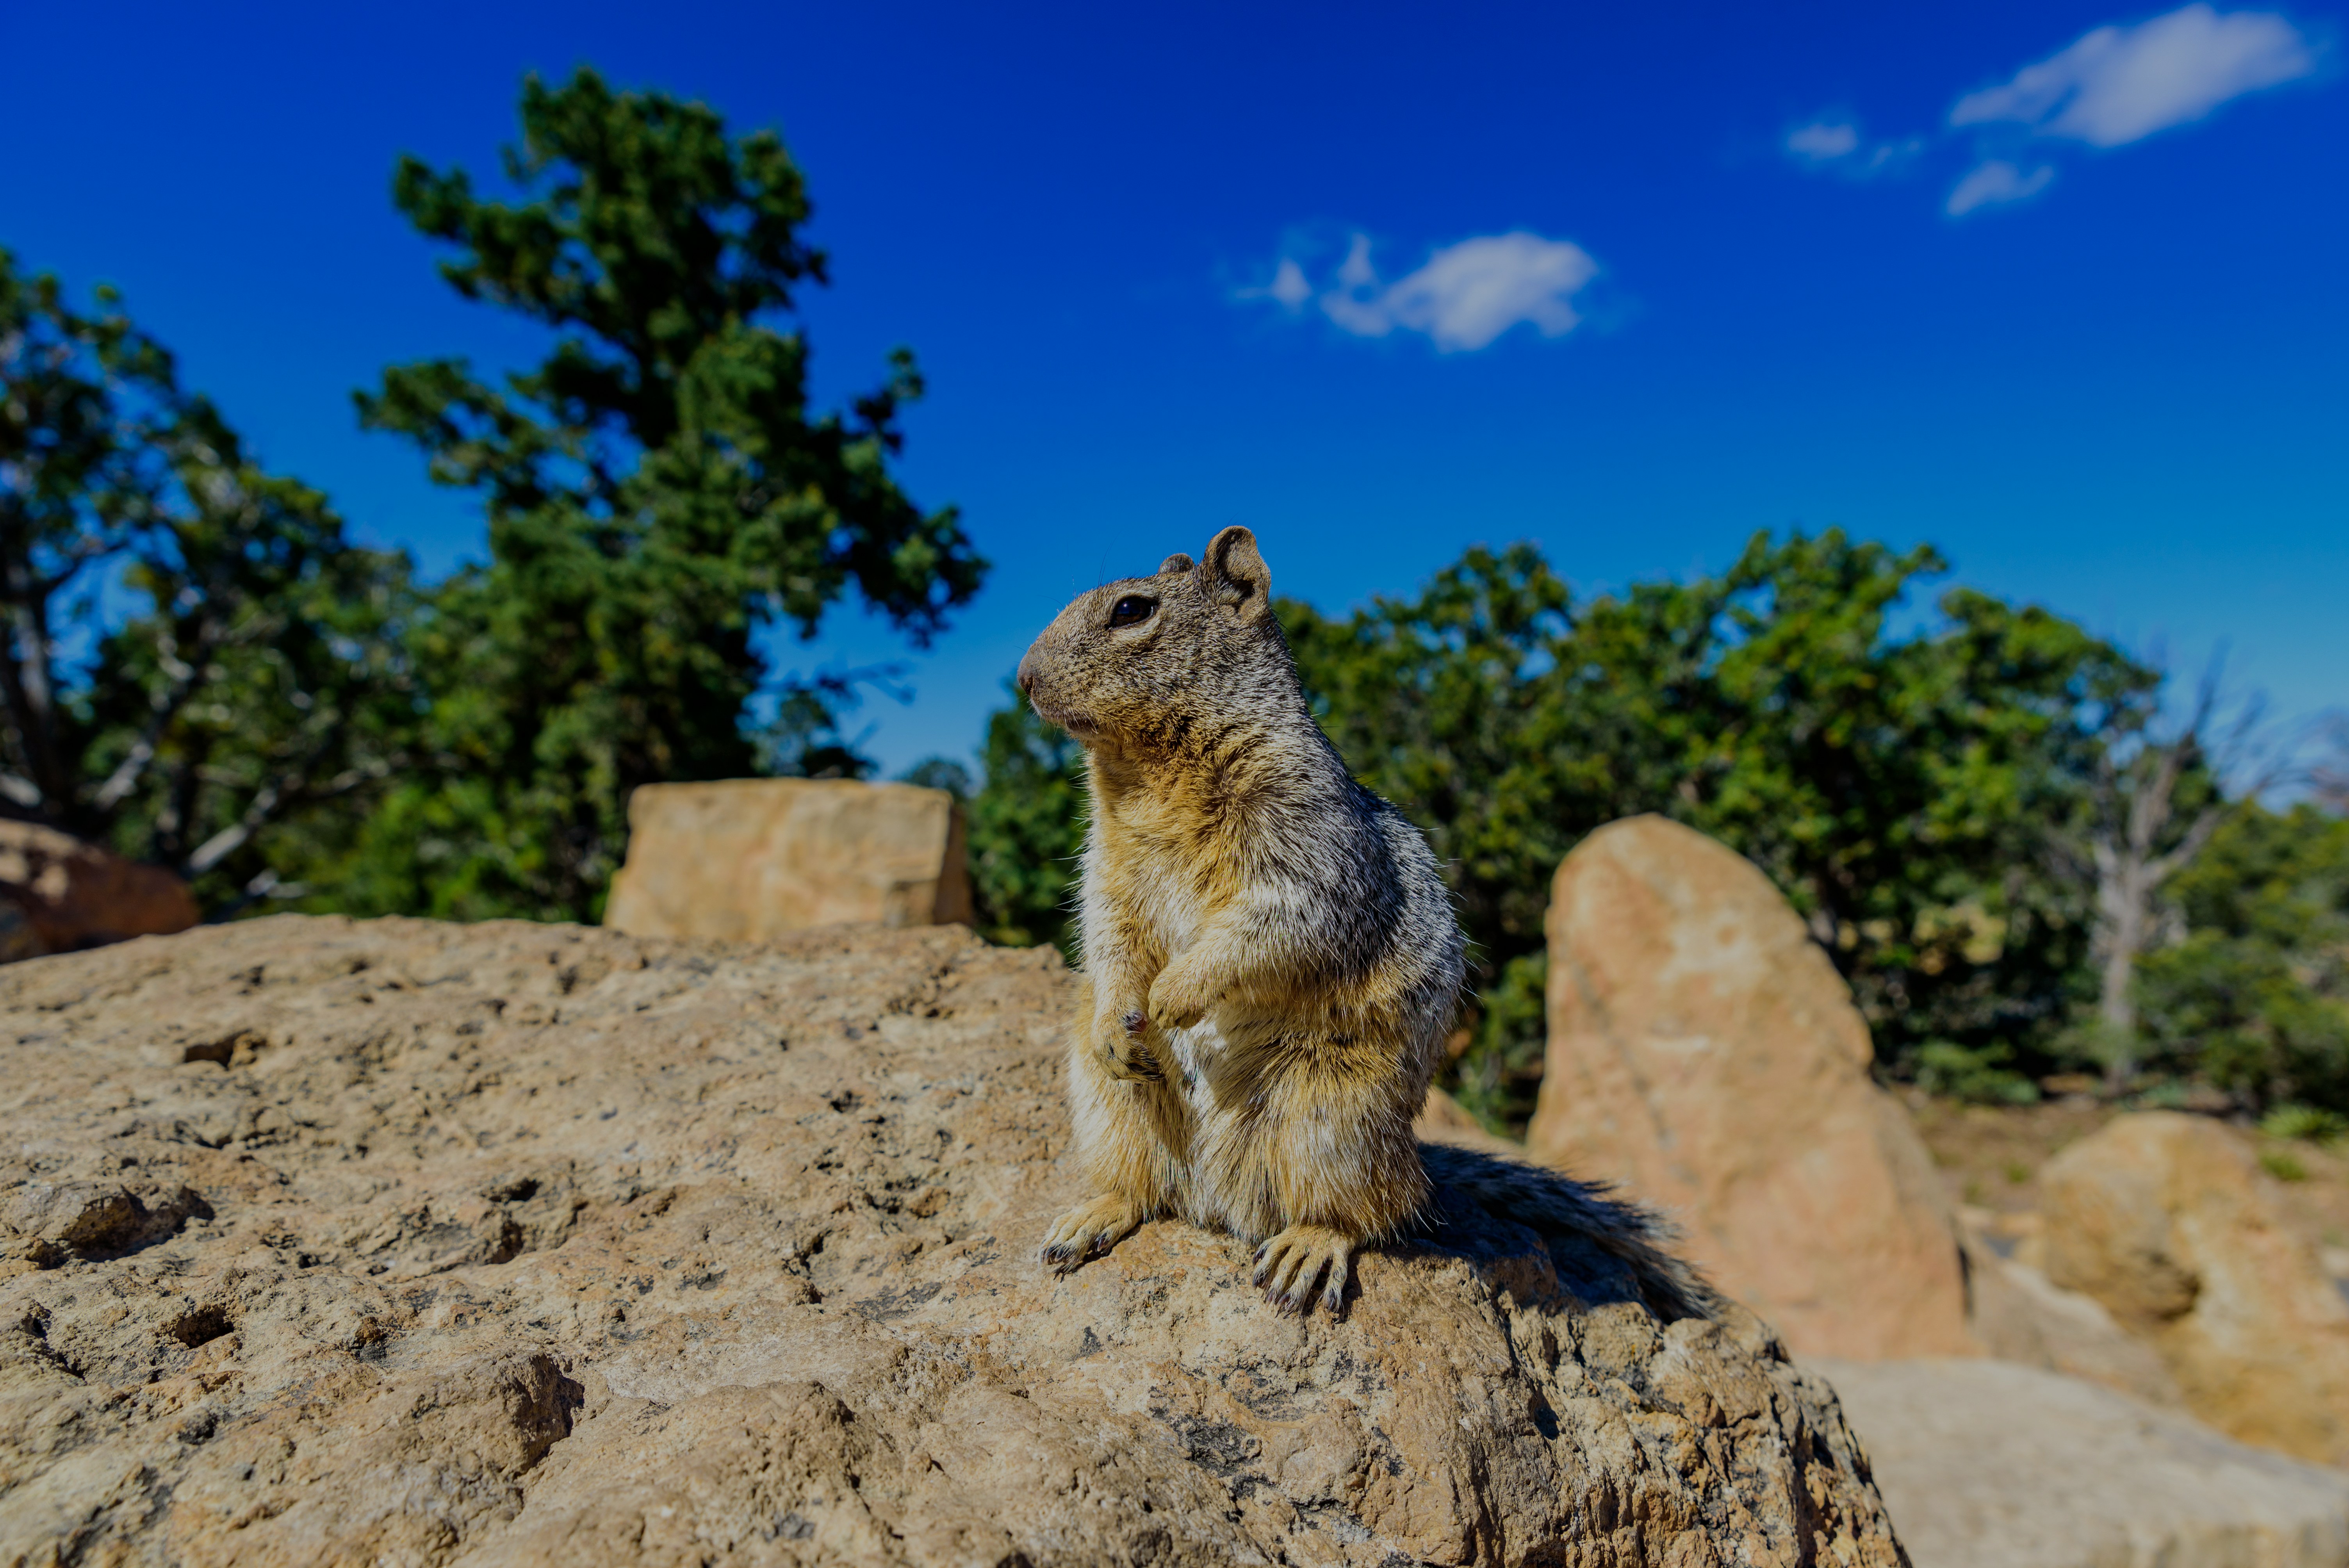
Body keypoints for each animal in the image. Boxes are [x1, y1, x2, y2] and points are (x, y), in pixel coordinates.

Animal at [1018, 526, 1710, 1321]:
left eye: (1132, 609)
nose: (1023, 678)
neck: (1146, 769)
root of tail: (1216, 1201)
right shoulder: (1108, 866)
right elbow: (1107, 933)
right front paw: (1122, 1019)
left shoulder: (1307, 837)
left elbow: (1280, 918)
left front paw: (1173, 994)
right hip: (1111, 1106)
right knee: (1145, 1188)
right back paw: (1089, 1216)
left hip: (1330, 1120)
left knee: (1367, 1214)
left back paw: (1305, 1249)